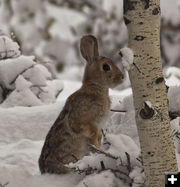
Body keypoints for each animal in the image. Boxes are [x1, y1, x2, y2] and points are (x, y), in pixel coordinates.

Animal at [38, 34, 124, 174]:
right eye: (106, 67)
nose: (122, 77)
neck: (95, 85)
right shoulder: (83, 120)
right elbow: (88, 130)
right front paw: (96, 143)